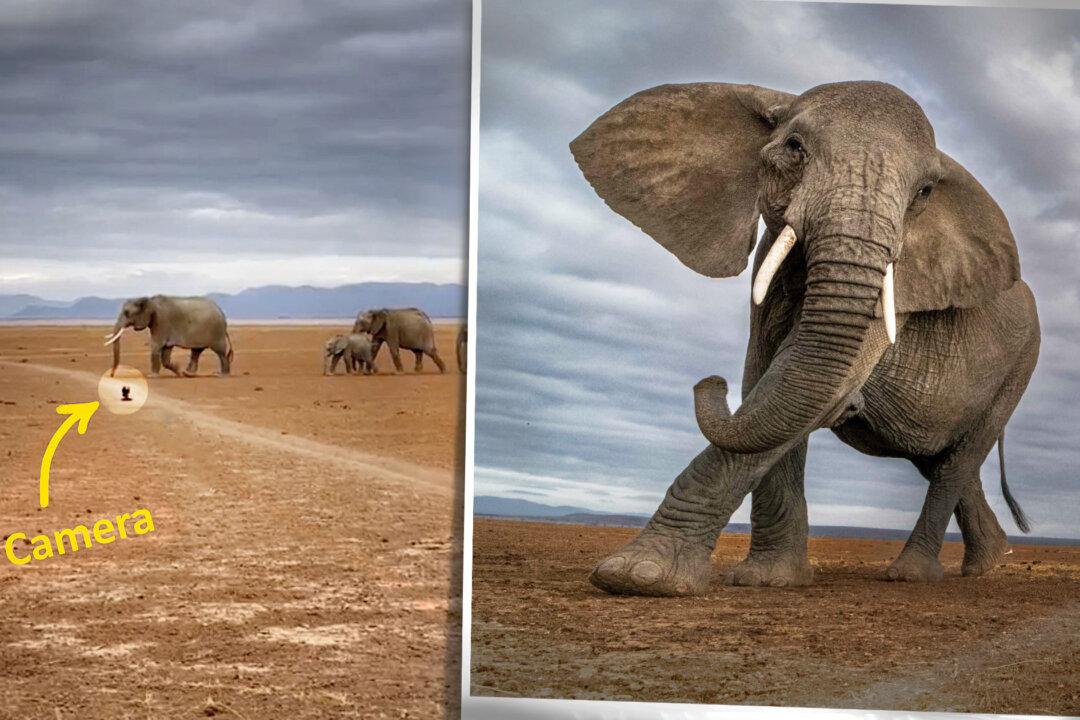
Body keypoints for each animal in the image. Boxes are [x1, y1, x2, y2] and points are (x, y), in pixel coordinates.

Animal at [104, 295, 233, 378]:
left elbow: (156, 346)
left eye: (127, 313)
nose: (112, 375)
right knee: (196, 352)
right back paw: (188, 374)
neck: (150, 302)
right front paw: (179, 372)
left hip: (216, 331)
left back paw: (222, 375)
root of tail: (222, 313)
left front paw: (152, 376)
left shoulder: (161, 322)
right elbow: (166, 352)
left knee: (220, 352)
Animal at [570, 80, 1039, 596]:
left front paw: (636, 575)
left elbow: (797, 394)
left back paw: (912, 574)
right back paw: (988, 563)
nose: (709, 383)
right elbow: (764, 384)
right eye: (795, 148)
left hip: (1020, 368)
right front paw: (770, 580)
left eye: (924, 192)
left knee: (957, 461)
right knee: (940, 459)